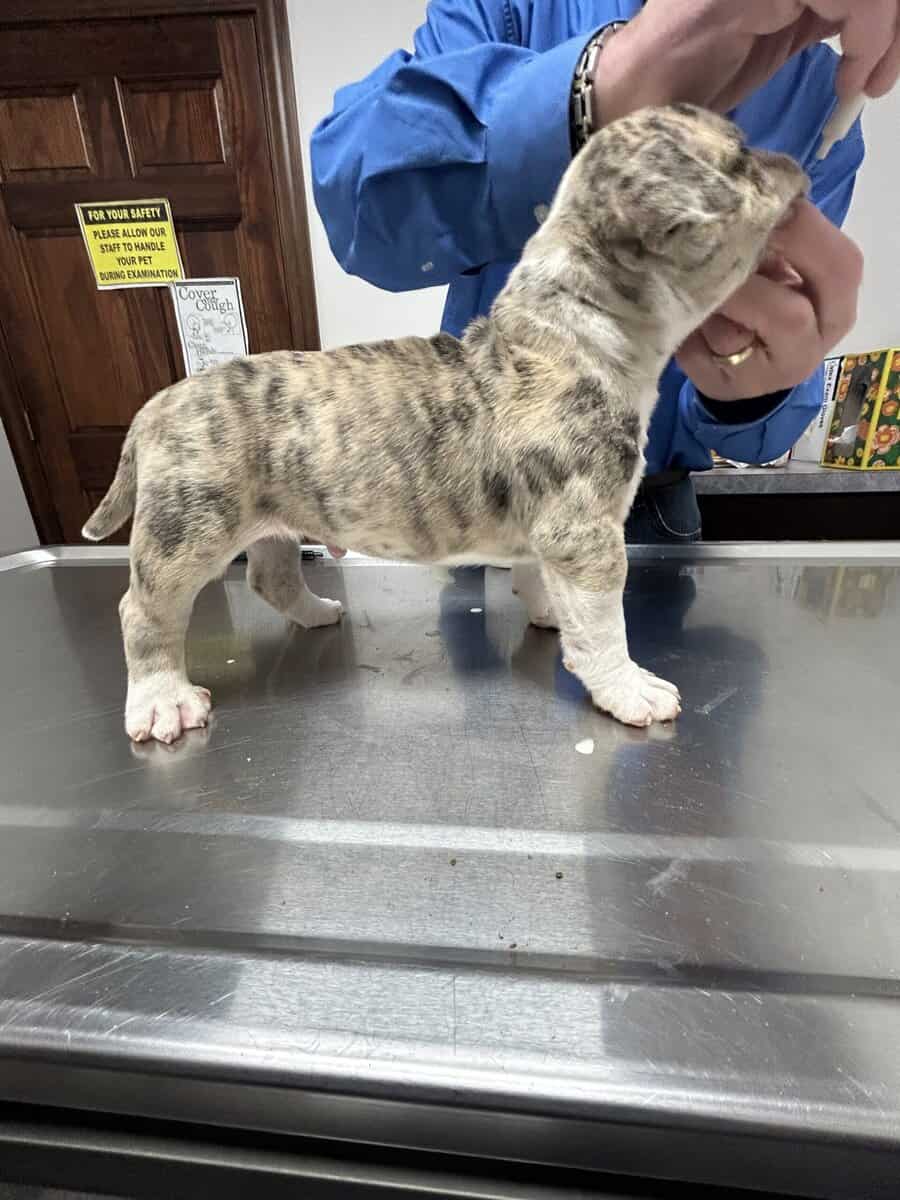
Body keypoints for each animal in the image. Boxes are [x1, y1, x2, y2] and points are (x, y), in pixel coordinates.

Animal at [83, 104, 807, 743]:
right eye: (740, 156)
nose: (793, 160)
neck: (573, 322)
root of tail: (157, 406)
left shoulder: (557, 535)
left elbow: (544, 582)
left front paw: (550, 616)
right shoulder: (585, 534)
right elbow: (605, 624)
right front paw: (627, 688)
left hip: (268, 519)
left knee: (272, 576)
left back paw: (316, 614)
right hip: (189, 531)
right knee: (141, 610)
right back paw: (161, 700)